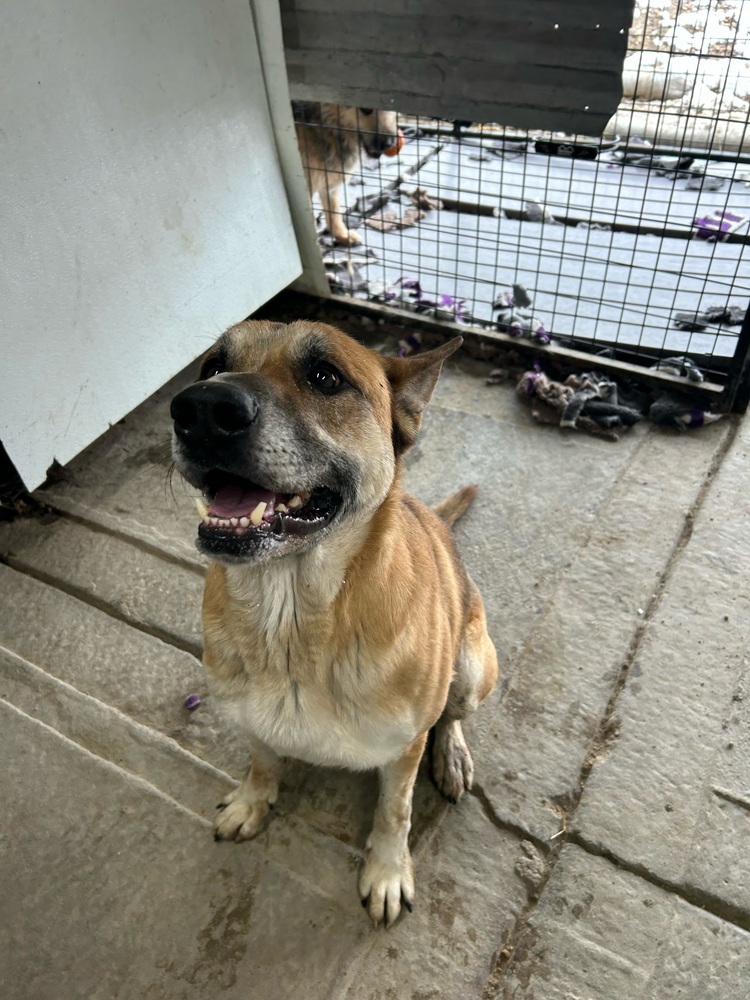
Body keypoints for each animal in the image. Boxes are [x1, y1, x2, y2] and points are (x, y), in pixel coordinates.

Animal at [171, 318, 500, 920]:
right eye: (212, 366)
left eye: (326, 377)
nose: (200, 408)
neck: (293, 621)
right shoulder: (252, 720)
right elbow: (261, 760)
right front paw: (253, 801)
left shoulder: (404, 750)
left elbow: (395, 811)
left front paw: (388, 870)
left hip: (470, 668)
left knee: (451, 715)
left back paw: (452, 755)